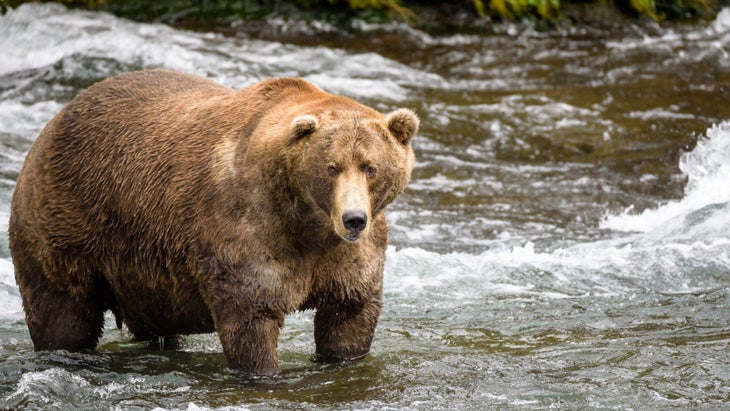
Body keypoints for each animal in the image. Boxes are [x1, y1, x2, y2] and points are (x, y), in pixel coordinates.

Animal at [8, 69, 418, 378]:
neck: (307, 224)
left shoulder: (349, 257)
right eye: (331, 167)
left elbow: (349, 315)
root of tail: (54, 121)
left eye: (370, 167)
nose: (354, 219)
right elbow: (251, 318)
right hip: (64, 223)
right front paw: (263, 372)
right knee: (63, 313)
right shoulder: (247, 229)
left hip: (142, 272)